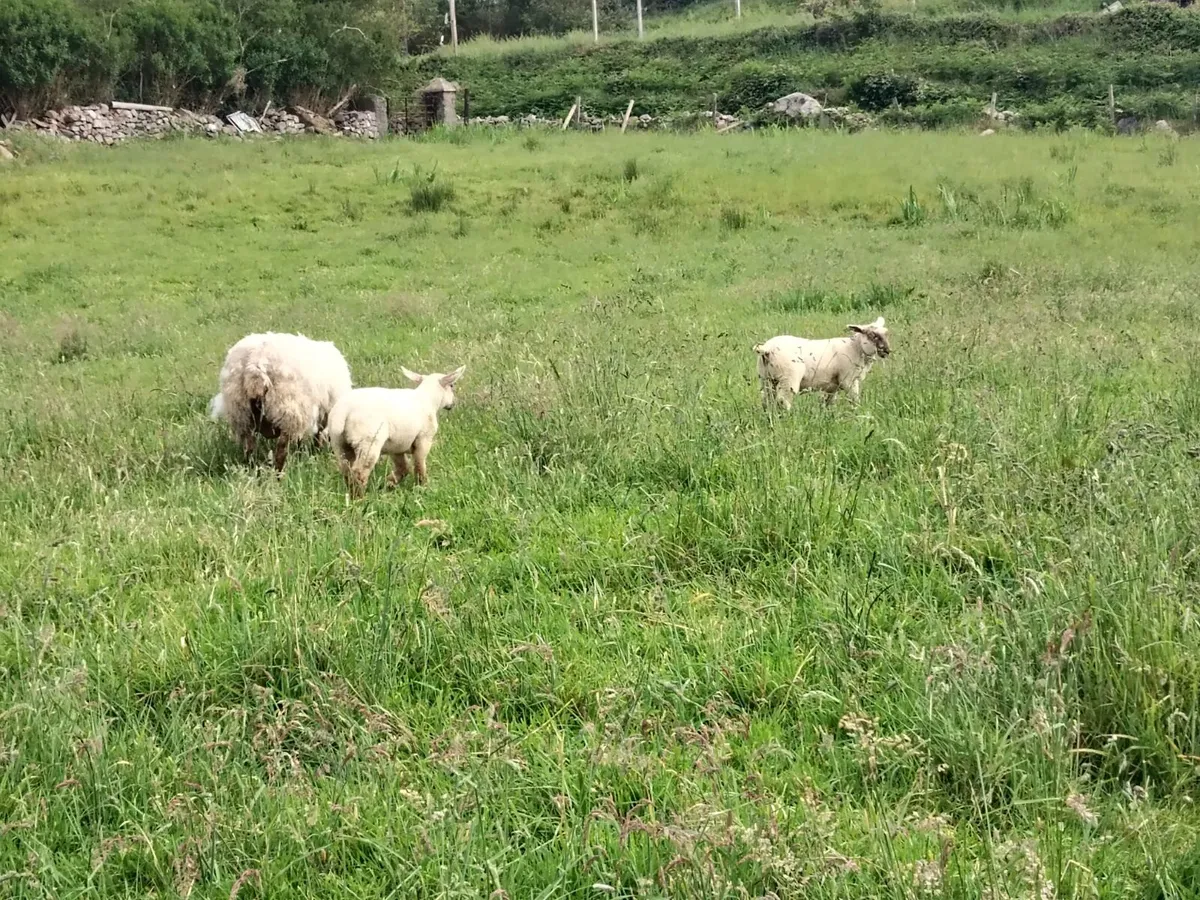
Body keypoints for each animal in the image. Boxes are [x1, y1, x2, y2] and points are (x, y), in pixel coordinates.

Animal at [210, 332, 353, 472]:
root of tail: (256, 364)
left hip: (241, 414)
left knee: (249, 450)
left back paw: (252, 470)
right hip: (288, 411)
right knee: (281, 452)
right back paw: (279, 474)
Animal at [325, 365, 466, 496]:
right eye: (452, 385)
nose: (452, 404)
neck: (429, 399)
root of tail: (343, 411)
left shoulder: (397, 445)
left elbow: (403, 468)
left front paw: (389, 483)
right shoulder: (424, 439)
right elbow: (419, 466)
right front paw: (422, 488)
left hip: (339, 443)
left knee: (346, 470)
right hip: (369, 441)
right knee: (359, 473)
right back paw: (360, 499)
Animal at [754, 316, 891, 410]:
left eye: (886, 333)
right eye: (872, 335)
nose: (887, 351)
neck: (855, 348)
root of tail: (767, 348)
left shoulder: (833, 385)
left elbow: (829, 402)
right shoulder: (849, 380)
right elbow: (854, 400)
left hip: (766, 379)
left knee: (766, 399)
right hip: (788, 379)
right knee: (783, 400)